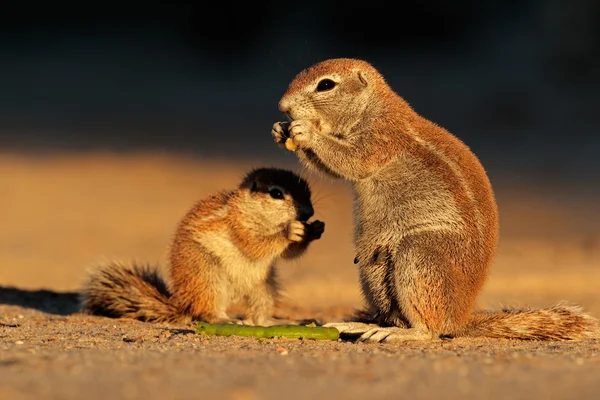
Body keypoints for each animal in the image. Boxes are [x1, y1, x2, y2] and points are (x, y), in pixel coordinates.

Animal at [80, 167, 326, 326]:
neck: (247, 209)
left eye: (308, 190)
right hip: (207, 276)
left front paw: (315, 229)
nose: (308, 213)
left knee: (259, 316)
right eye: (276, 193)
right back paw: (223, 319)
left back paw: (278, 322)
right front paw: (290, 231)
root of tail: (185, 305)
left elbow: (288, 254)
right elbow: (256, 246)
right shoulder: (239, 227)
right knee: (206, 312)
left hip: (263, 288)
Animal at [270, 57, 596, 342]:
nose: (283, 107)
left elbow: (349, 160)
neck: (372, 108)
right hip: (372, 272)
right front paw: (279, 131)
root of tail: (459, 320)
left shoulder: (380, 139)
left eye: (326, 85)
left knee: (430, 330)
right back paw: (355, 325)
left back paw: (398, 333)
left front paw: (305, 131)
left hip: (420, 254)